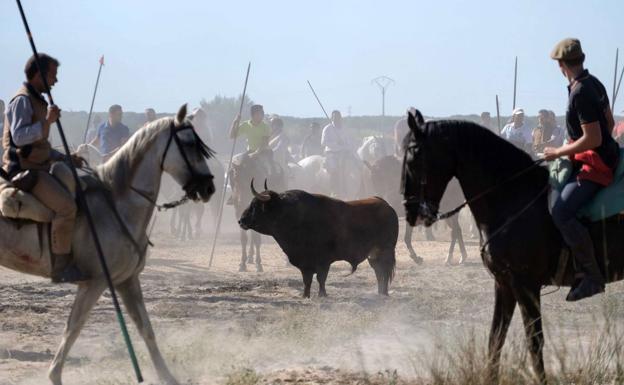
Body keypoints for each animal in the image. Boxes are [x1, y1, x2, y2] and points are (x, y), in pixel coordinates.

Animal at [0, 105, 214, 384]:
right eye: (189, 144)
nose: (209, 187)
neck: (117, 202)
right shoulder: (95, 282)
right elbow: (73, 328)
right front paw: (54, 375)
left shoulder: (127, 280)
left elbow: (145, 328)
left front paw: (167, 376)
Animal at [238, 183, 394, 296]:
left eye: (255, 206)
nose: (241, 221)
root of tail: (386, 205)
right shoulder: (305, 263)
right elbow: (307, 280)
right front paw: (305, 295)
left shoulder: (323, 261)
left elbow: (321, 278)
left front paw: (322, 295)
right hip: (373, 255)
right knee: (379, 271)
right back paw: (380, 293)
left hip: (385, 251)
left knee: (384, 271)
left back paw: (384, 293)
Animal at [400, 111, 624, 380]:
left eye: (413, 156)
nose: (410, 213)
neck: (511, 196)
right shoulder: (504, 284)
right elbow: (495, 339)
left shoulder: (526, 285)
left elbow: (534, 342)